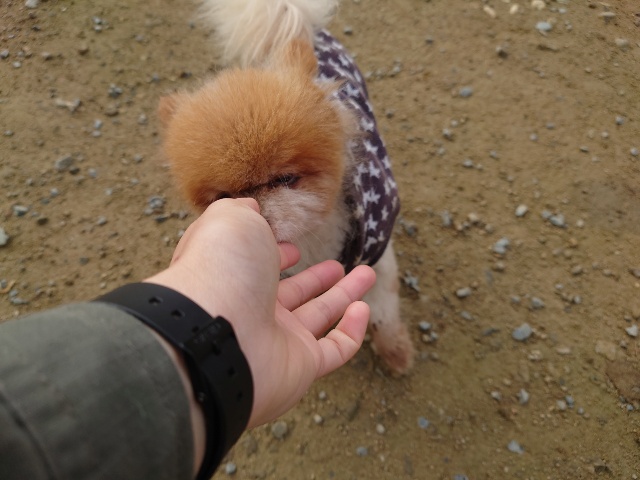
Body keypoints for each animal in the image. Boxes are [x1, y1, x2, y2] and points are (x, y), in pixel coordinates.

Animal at [158, 0, 415, 373]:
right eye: (224, 197)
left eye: (285, 179)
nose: (258, 218)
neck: (314, 242)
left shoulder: (377, 260)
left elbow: (382, 307)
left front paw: (394, 349)